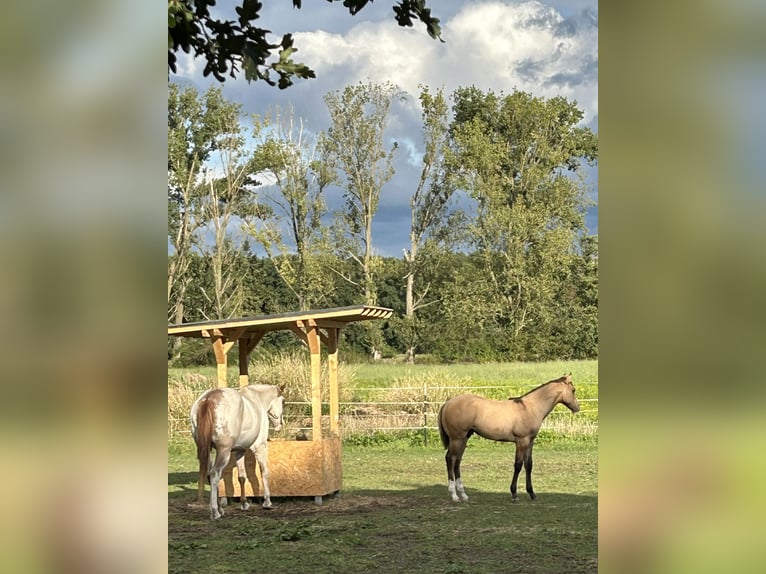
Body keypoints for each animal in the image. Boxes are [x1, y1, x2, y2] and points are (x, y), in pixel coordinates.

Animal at [190, 382, 286, 520]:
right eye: (283, 401)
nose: (280, 425)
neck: (257, 399)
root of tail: (208, 399)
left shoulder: (239, 451)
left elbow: (242, 476)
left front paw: (244, 503)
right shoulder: (260, 447)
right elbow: (264, 471)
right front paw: (267, 502)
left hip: (208, 452)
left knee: (209, 475)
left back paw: (220, 509)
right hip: (223, 452)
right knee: (214, 474)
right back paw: (215, 512)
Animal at [438, 376, 584, 502]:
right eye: (573, 390)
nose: (577, 408)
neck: (530, 408)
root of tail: (447, 403)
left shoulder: (530, 442)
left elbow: (529, 465)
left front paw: (532, 493)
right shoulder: (521, 441)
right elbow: (518, 465)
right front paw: (514, 494)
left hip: (464, 438)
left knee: (457, 461)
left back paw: (463, 495)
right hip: (456, 438)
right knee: (450, 459)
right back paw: (454, 495)